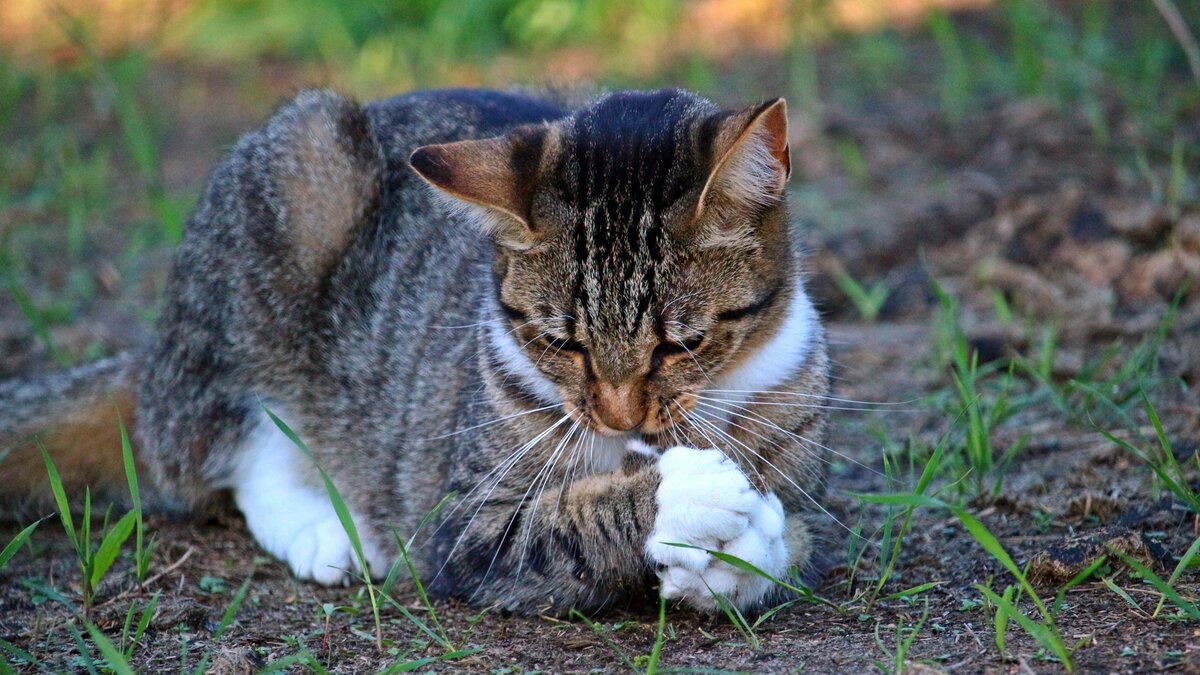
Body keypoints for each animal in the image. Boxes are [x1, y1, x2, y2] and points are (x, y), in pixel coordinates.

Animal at [2, 86, 835, 612]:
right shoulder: (463, 524)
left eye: (679, 344)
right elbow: (569, 524)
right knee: (233, 450)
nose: (617, 416)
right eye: (559, 341)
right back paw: (325, 528)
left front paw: (740, 553)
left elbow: (793, 537)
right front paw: (690, 496)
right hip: (287, 198)